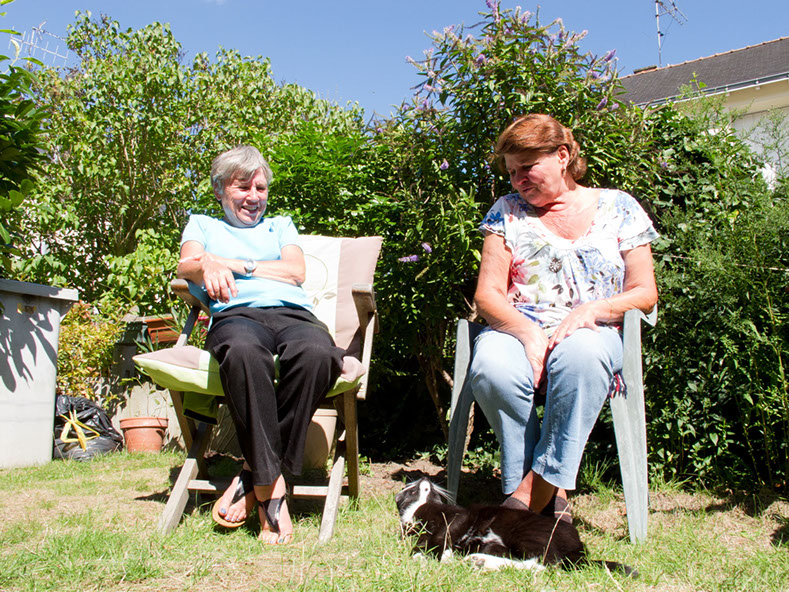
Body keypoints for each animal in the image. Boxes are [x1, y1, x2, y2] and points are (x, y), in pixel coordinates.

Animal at [395, 477, 636, 576]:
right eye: (410, 489)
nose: (424, 478)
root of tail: (579, 549)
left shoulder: (457, 517)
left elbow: (440, 536)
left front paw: (429, 557)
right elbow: (422, 540)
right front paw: (427, 555)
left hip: (527, 534)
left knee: (545, 564)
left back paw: (480, 561)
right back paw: (480, 560)